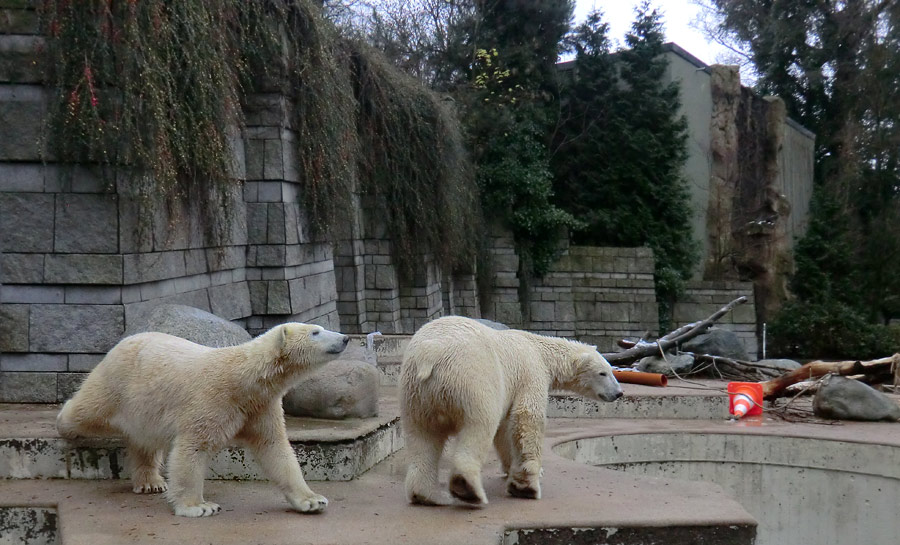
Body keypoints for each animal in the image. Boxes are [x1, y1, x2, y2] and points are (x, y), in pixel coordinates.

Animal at [58, 320, 350, 516]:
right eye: (315, 332)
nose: (346, 338)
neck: (244, 379)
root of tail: (123, 341)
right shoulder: (212, 399)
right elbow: (192, 447)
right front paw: (198, 506)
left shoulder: (260, 407)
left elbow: (275, 448)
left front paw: (312, 500)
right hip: (118, 383)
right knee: (89, 409)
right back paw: (64, 424)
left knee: (145, 440)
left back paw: (150, 483)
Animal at [402, 314, 624, 506]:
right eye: (603, 373)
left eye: (611, 370)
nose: (619, 393)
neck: (539, 350)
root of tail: (430, 353)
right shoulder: (530, 373)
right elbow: (527, 418)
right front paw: (527, 485)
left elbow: (504, 430)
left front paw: (511, 467)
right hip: (471, 378)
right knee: (479, 425)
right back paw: (467, 488)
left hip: (416, 393)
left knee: (423, 437)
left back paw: (427, 495)